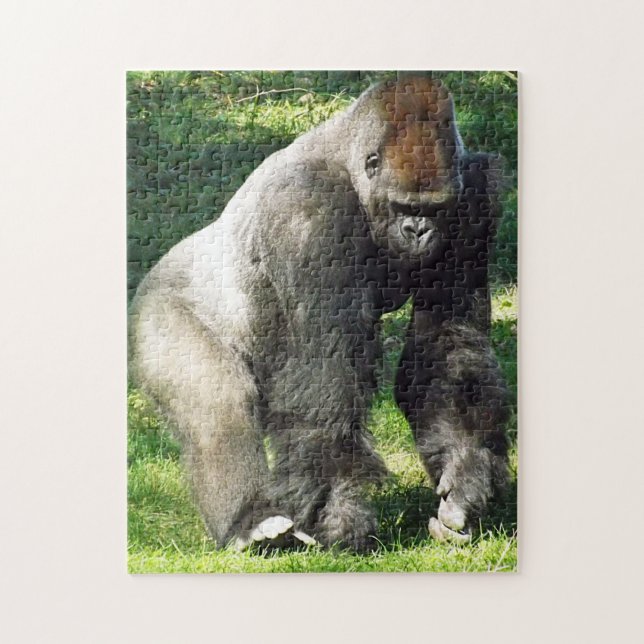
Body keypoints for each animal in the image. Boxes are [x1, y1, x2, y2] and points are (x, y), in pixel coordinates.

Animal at [129, 75, 510, 551]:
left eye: (434, 210)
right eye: (404, 207)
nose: (419, 231)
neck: (349, 162)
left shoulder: (476, 196)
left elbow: (446, 346)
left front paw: (464, 478)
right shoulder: (308, 212)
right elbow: (322, 382)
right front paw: (337, 512)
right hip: (157, 313)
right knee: (217, 401)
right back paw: (249, 521)